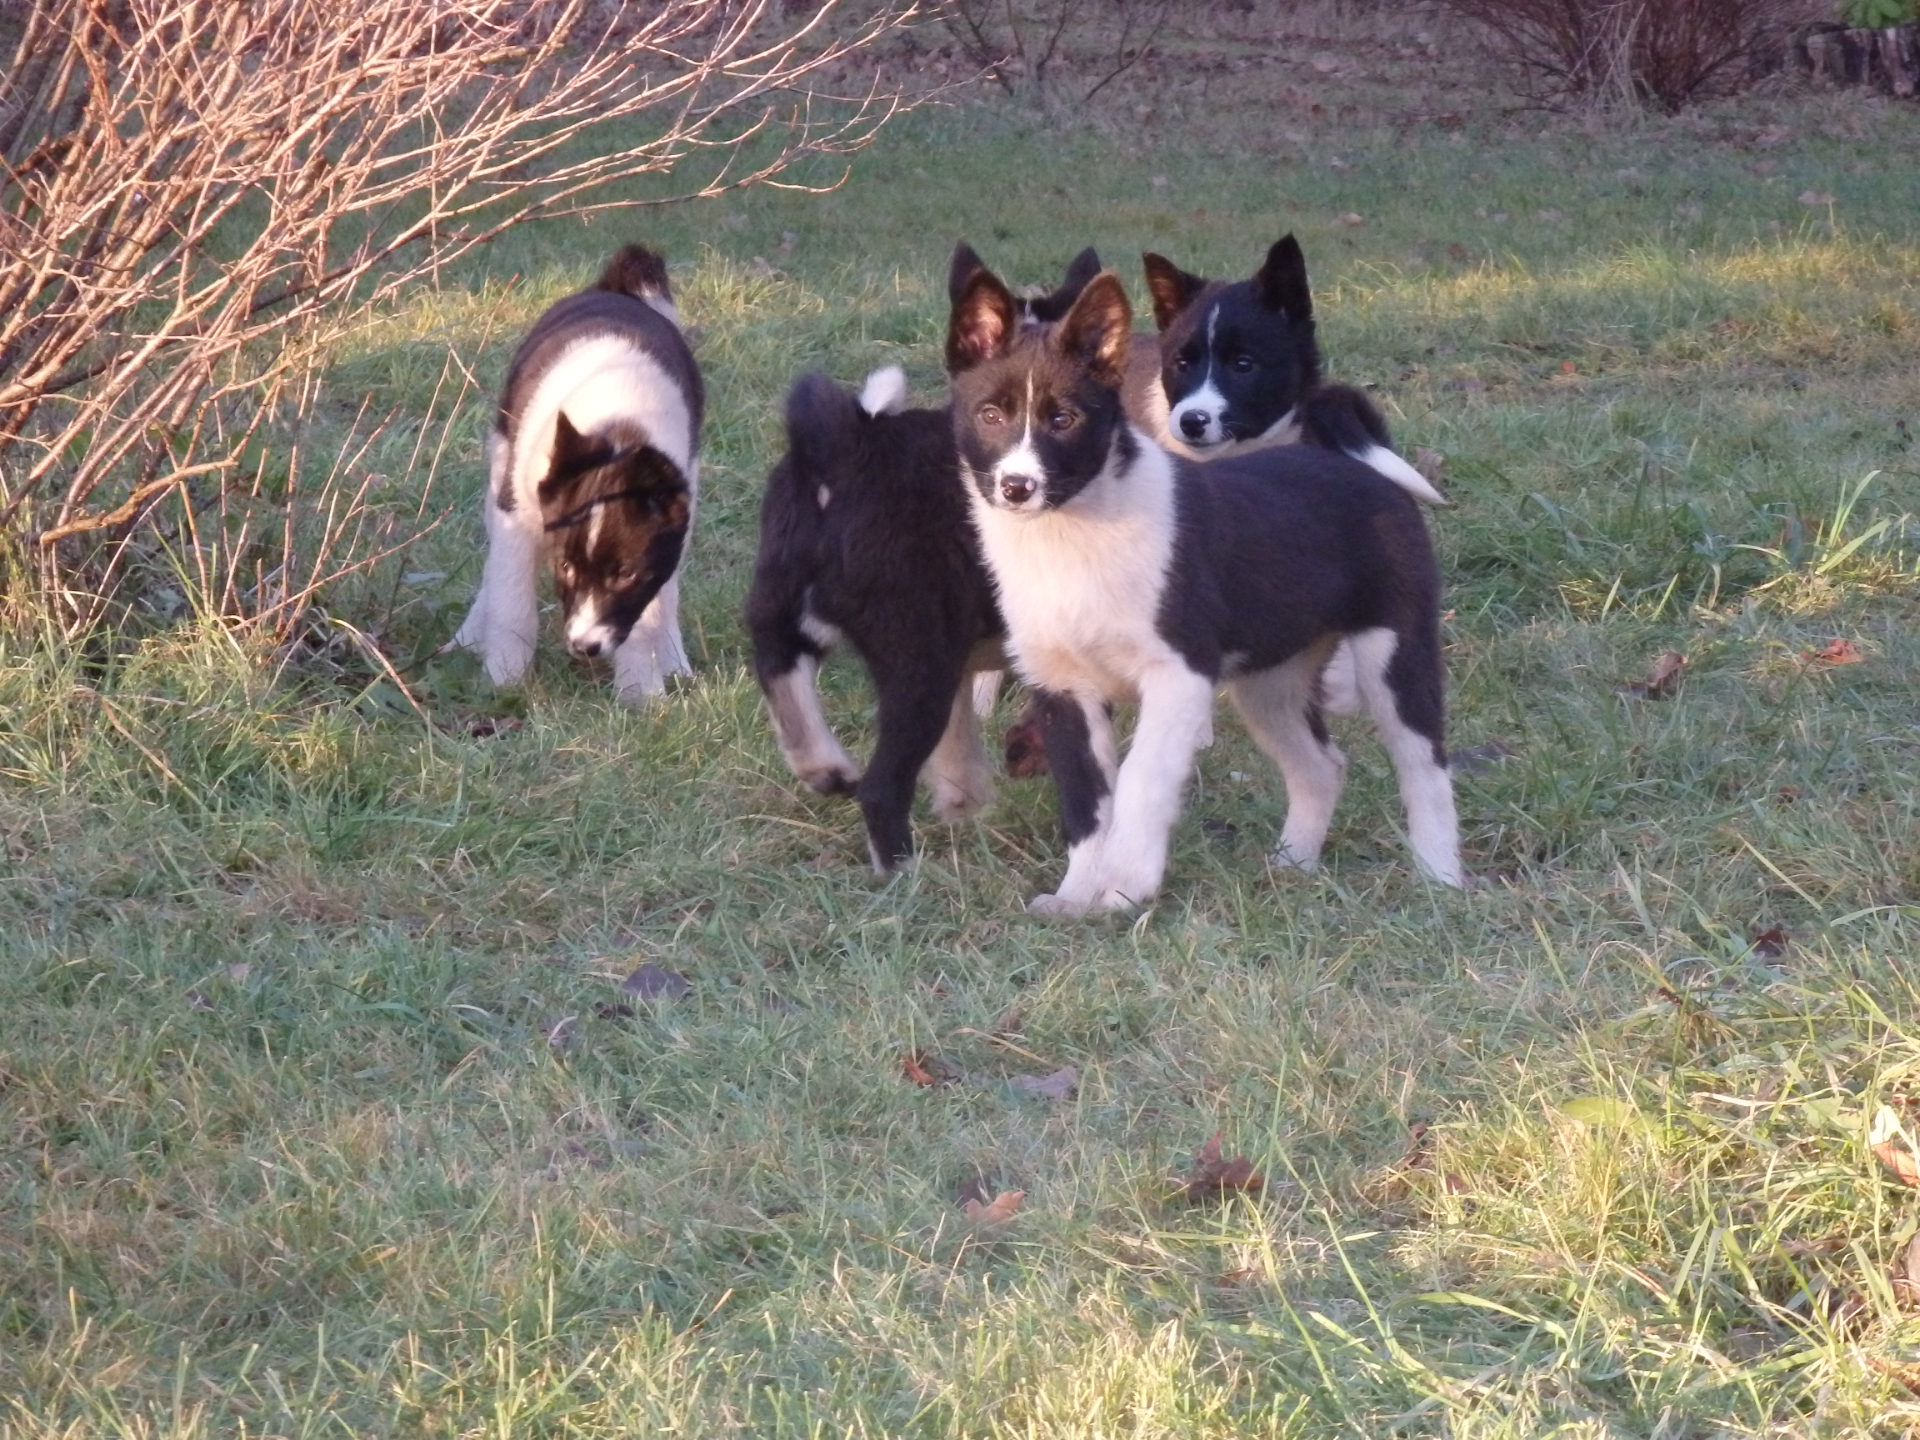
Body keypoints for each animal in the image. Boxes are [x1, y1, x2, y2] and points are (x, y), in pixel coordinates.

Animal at [452, 244, 701, 701]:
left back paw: (675, 661)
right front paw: (503, 681)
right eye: (565, 568)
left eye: (625, 574)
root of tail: (614, 288)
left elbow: (650, 612)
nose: (584, 647)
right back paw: (470, 638)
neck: (618, 428)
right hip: (501, 466)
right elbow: (512, 604)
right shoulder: (517, 515)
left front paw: (642, 694)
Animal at [946, 261, 1464, 915]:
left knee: (1425, 767)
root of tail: (1362, 469)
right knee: (1321, 766)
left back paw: (1441, 879)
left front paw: (1124, 887)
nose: (1017, 487)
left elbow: (1140, 780)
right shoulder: (1062, 689)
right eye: (990, 415)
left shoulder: (1178, 676)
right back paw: (1291, 867)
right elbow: (1087, 804)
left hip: (1394, 654)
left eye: (1064, 419)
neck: (1072, 535)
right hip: (1271, 683)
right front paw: (1075, 897)